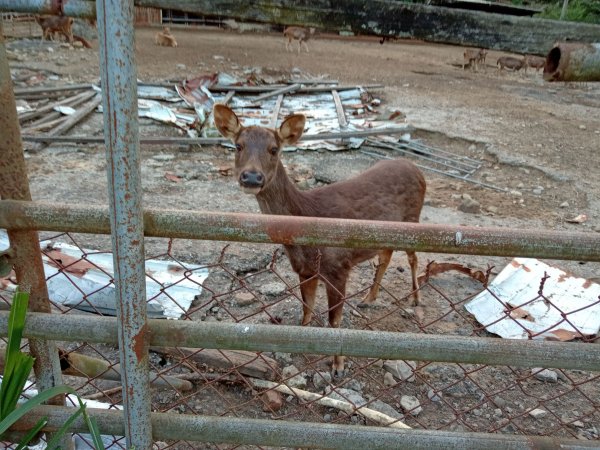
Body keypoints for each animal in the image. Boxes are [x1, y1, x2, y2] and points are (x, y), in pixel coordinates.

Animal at [212, 103, 426, 374]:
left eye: (274, 149)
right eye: (238, 146)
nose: (251, 177)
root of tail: (417, 169)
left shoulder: (338, 267)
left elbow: (334, 321)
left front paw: (338, 366)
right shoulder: (304, 269)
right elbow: (306, 310)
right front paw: (300, 348)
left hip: (413, 220)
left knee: (413, 258)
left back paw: (416, 298)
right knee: (385, 256)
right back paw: (368, 299)